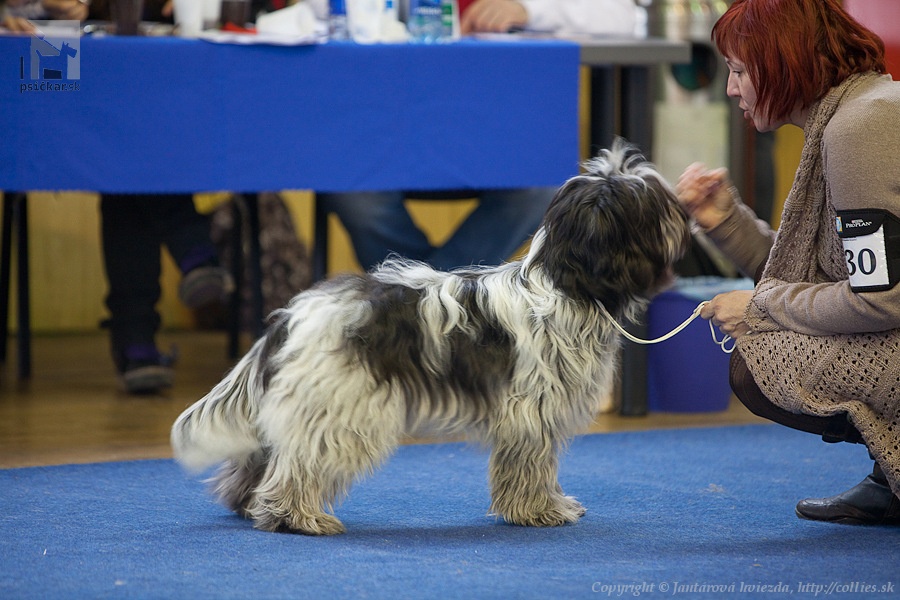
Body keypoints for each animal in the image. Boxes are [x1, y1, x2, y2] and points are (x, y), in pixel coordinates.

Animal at [171, 141, 688, 536]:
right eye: (648, 201)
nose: (684, 209)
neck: (565, 282)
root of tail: (291, 315)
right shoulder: (531, 411)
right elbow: (532, 467)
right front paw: (542, 510)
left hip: (306, 404)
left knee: (264, 459)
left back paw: (249, 505)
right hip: (340, 411)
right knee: (297, 466)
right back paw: (295, 517)